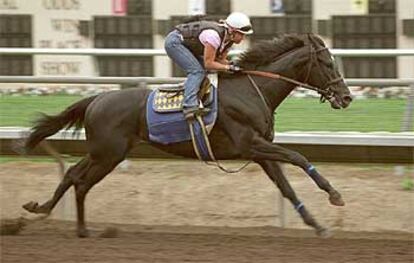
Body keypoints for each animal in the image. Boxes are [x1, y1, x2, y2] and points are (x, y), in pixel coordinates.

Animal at [21, 33, 352, 237]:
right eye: (327, 63)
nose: (346, 97)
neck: (251, 90)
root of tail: (96, 99)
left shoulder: (260, 151)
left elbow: (286, 188)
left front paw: (317, 225)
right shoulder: (251, 144)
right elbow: (299, 156)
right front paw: (334, 195)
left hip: (104, 153)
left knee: (73, 176)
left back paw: (54, 215)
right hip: (108, 154)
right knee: (79, 180)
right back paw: (64, 220)